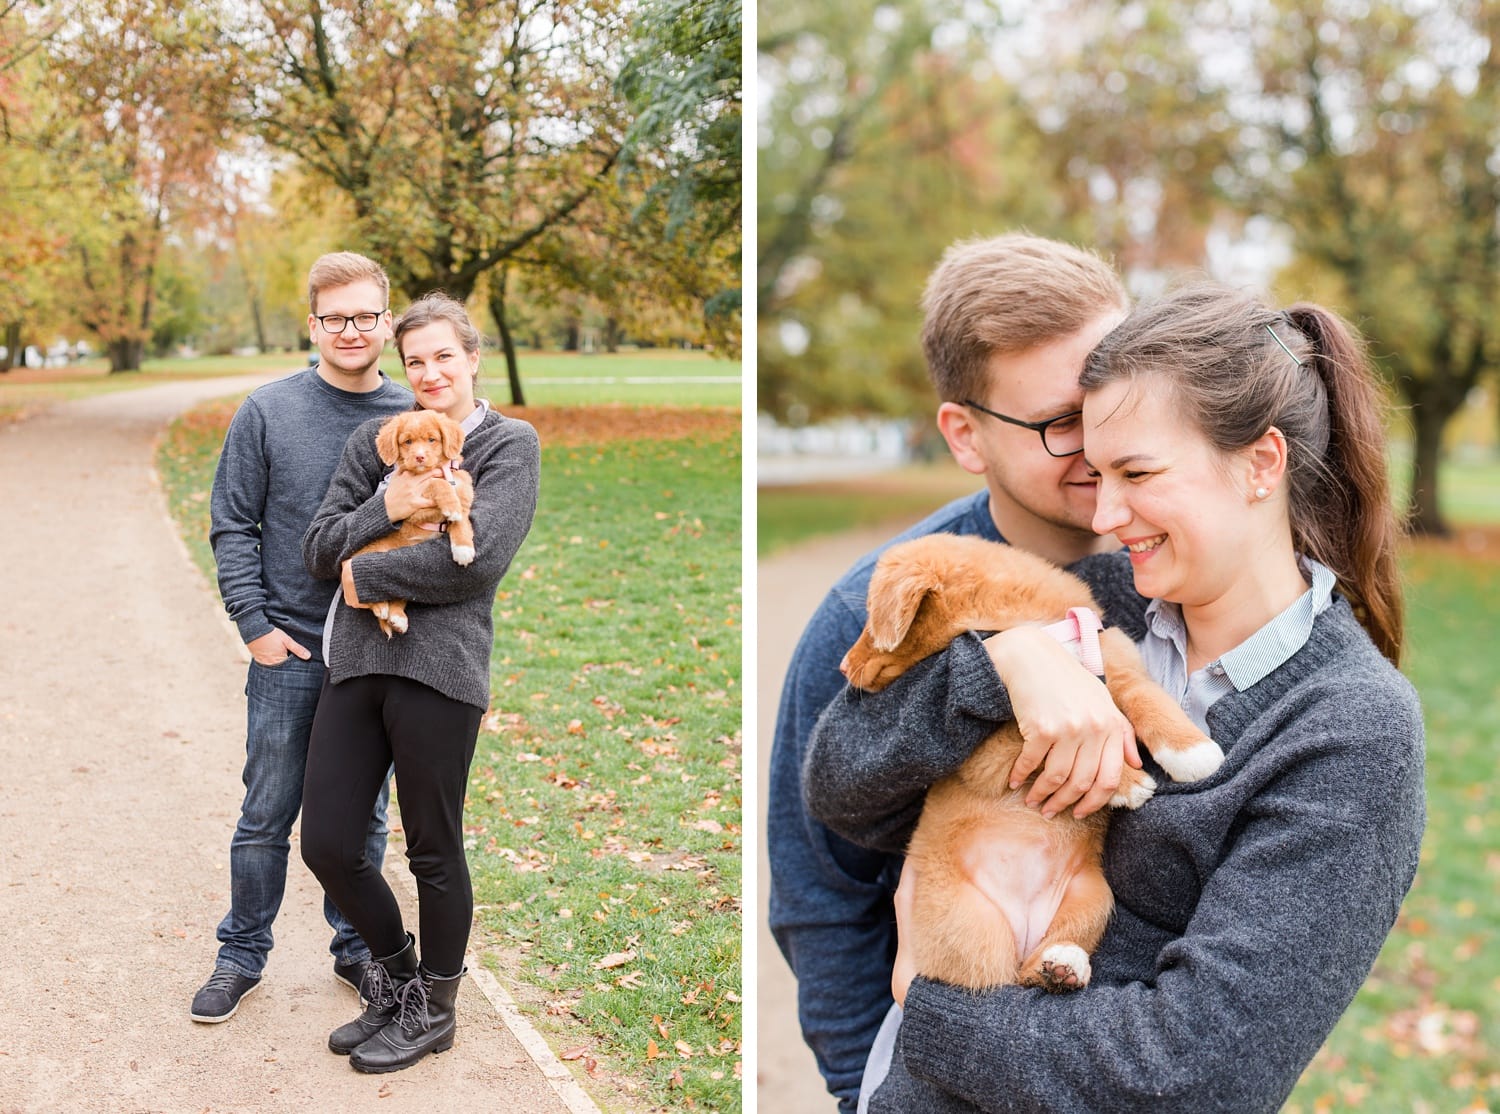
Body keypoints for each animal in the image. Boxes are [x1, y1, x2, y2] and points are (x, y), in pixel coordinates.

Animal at [346, 407, 474, 635]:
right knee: (368, 596)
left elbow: (462, 522)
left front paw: (463, 548)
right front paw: (450, 503)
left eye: (432, 439)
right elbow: (436, 484)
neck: (441, 470)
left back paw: (397, 617)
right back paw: (381, 607)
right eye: (407, 442)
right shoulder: (416, 497)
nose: (420, 457)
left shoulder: (464, 494)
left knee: (401, 594)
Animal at [846, 533, 1218, 995]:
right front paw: (1128, 782)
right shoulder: (988, 752)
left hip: (1093, 898)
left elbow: (1146, 698)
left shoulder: (1117, 661)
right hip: (977, 928)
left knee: (1037, 966)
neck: (1047, 634)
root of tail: (1025, 927)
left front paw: (1192, 752)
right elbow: (1037, 746)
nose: (843, 666)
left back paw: (1060, 967)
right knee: (997, 980)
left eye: (870, 621)